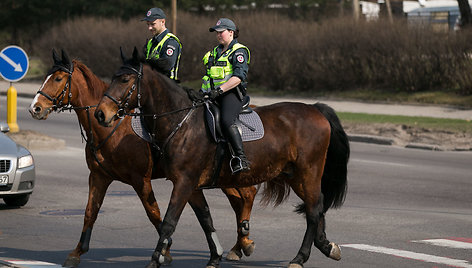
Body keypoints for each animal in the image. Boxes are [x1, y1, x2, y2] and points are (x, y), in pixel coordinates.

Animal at [28, 49, 258, 266]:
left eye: (58, 78)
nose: (35, 108)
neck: (112, 128)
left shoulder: (140, 180)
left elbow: (153, 213)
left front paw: (165, 251)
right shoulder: (98, 177)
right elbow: (90, 212)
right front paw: (76, 253)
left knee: (247, 195)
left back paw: (244, 242)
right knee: (240, 199)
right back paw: (239, 246)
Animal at [93, 48, 350, 268]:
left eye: (125, 80)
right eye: (114, 77)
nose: (100, 114)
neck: (182, 122)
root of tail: (315, 109)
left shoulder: (184, 183)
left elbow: (168, 222)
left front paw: (155, 260)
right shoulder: (192, 187)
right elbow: (206, 220)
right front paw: (215, 257)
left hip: (308, 171)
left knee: (313, 209)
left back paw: (300, 257)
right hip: (294, 175)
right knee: (316, 206)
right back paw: (327, 246)